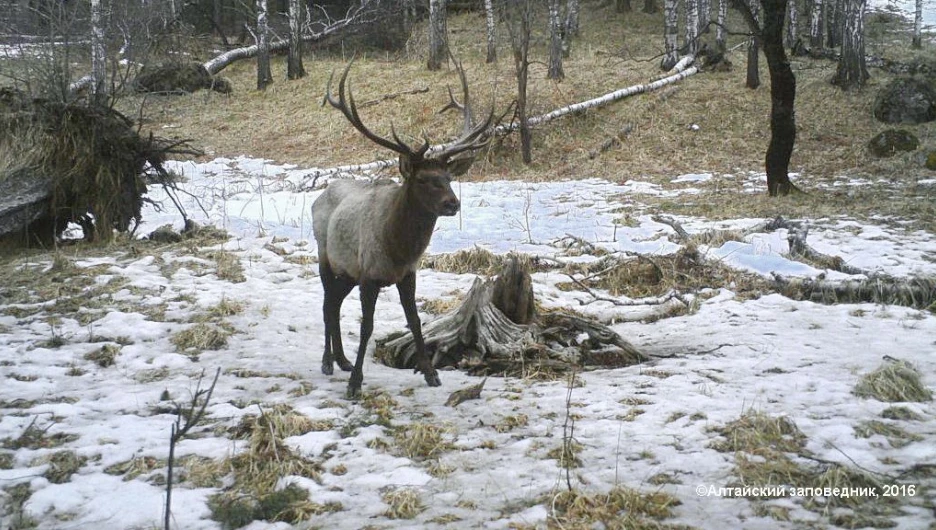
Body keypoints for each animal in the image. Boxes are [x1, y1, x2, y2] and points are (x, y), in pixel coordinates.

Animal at [310, 59, 498, 396]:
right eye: (422, 179)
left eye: (448, 178)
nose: (453, 203)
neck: (397, 248)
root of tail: (321, 195)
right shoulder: (369, 275)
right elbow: (367, 326)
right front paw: (355, 384)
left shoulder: (407, 274)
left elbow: (414, 320)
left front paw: (431, 374)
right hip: (325, 257)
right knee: (326, 304)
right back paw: (329, 362)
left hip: (347, 272)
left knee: (334, 304)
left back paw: (342, 360)